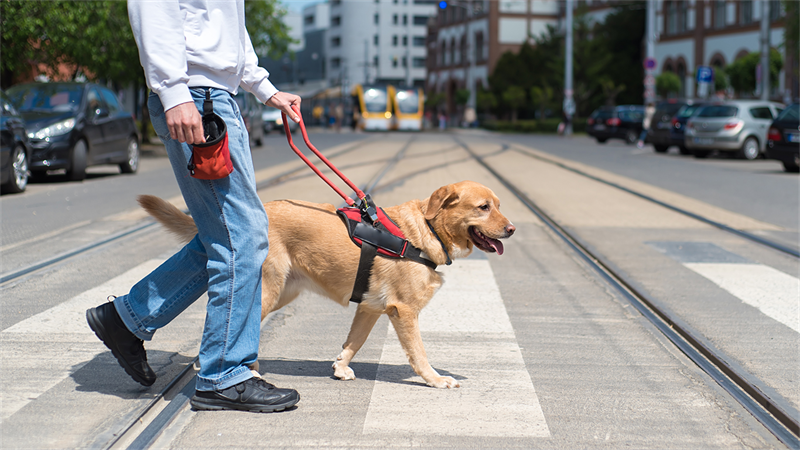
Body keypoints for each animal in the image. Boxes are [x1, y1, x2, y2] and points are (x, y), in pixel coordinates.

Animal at [140, 179, 516, 386]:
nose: (512, 229)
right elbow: (419, 353)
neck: (426, 230)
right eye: (483, 207)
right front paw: (435, 380)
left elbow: (354, 342)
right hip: (267, 291)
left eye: (499, 205)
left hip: (282, 293)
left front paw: (340, 368)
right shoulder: (404, 311)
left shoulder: (370, 308)